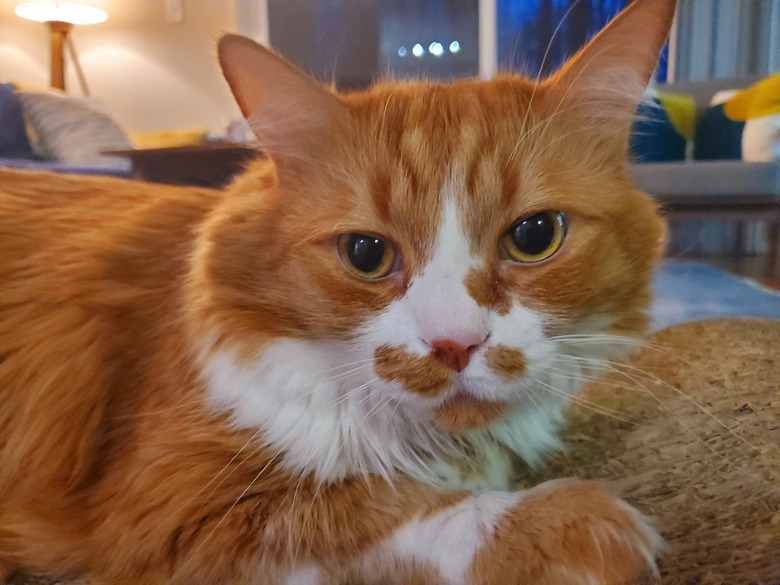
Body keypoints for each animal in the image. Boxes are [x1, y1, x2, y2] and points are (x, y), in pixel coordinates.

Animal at [0, 2, 672, 580]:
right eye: (365, 254)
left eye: (535, 236)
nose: (455, 345)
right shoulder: (175, 506)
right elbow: (384, 512)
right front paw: (572, 525)